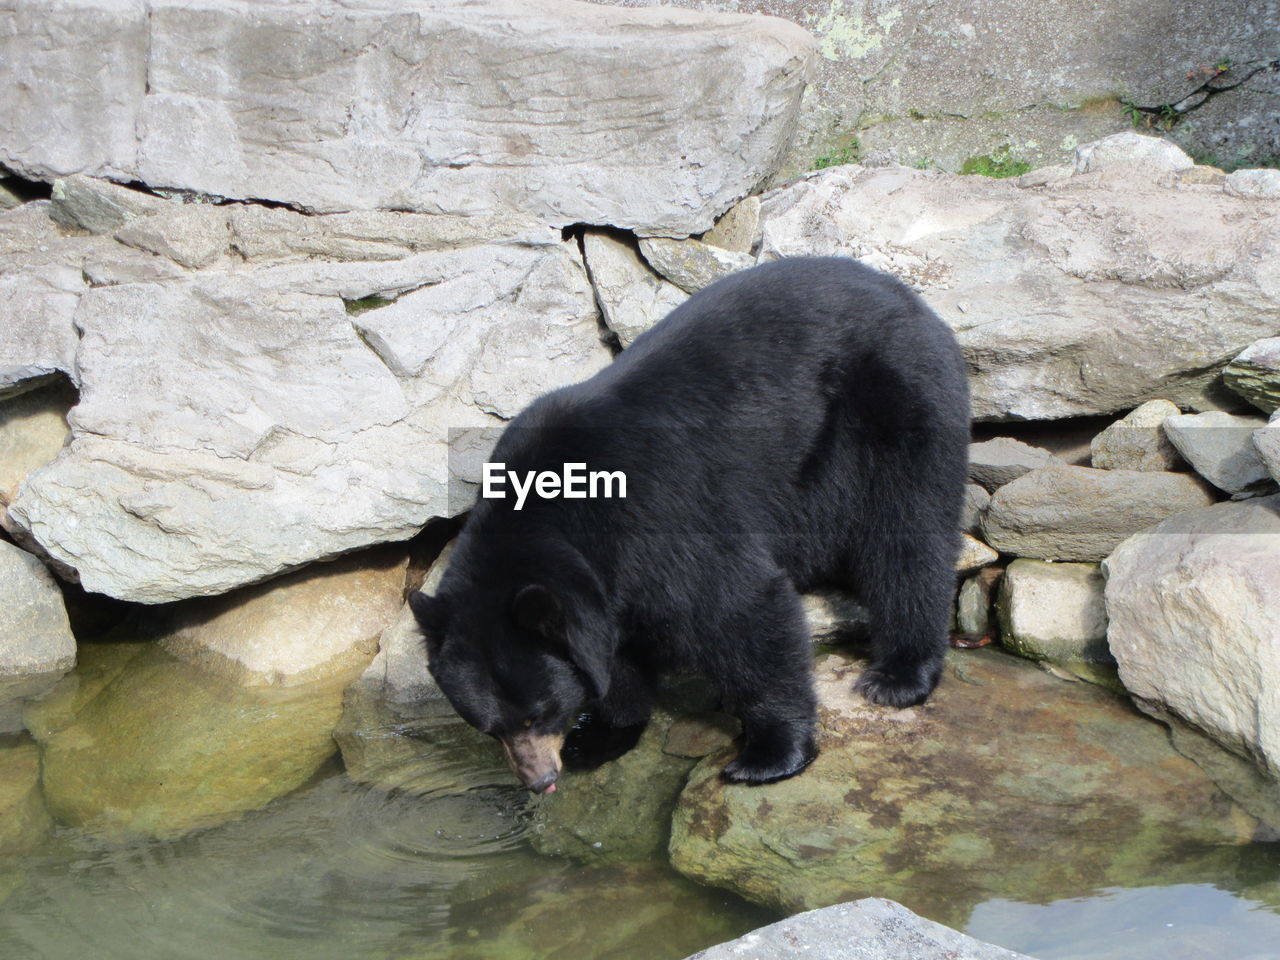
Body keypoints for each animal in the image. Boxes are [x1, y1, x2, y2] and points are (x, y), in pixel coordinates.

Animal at [412, 256, 967, 798]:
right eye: (489, 728)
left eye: (539, 713)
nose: (539, 781)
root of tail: (906, 295)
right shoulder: (605, 582)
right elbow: (615, 653)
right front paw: (600, 736)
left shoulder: (662, 514)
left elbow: (740, 608)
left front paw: (768, 755)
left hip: (894, 398)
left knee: (907, 530)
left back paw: (898, 675)